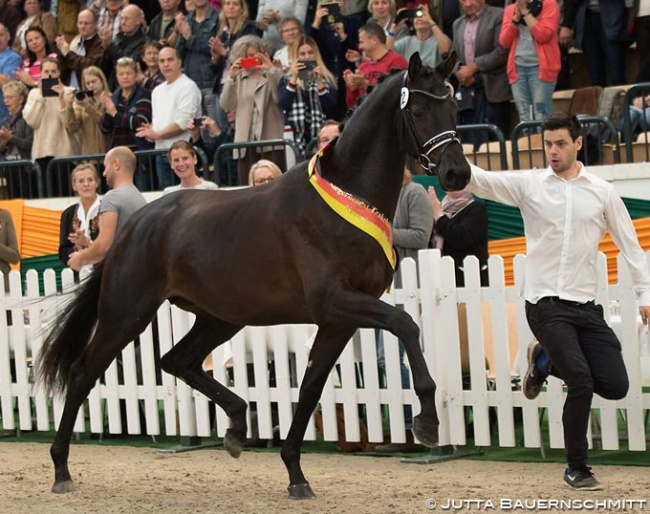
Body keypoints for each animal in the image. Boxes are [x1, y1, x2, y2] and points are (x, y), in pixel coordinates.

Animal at [35, 54, 468, 498]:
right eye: (419, 110)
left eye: (453, 107)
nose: (457, 174)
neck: (346, 200)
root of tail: (134, 224)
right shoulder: (337, 303)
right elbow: (405, 323)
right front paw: (427, 421)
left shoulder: (339, 319)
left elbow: (311, 386)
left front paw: (296, 473)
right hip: (127, 313)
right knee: (83, 374)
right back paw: (61, 469)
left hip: (219, 318)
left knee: (177, 360)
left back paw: (237, 426)